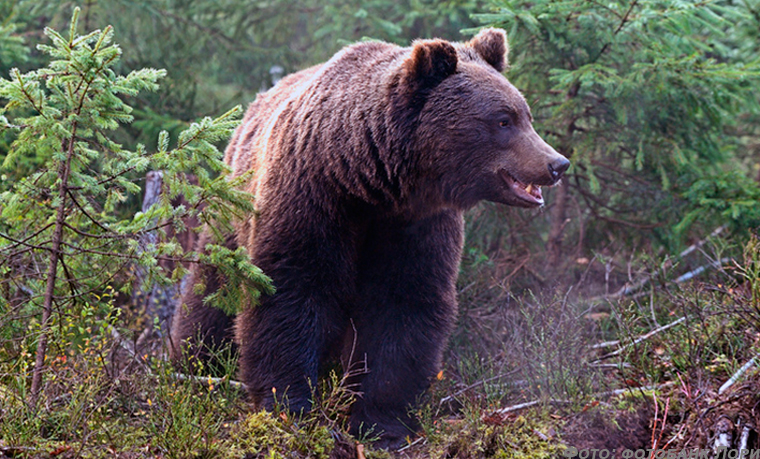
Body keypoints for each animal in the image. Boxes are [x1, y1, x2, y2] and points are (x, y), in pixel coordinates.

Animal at [170, 28, 570, 448]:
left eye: (526, 115)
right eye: (503, 120)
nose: (556, 163)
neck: (366, 179)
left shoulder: (415, 224)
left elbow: (403, 304)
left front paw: (382, 423)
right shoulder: (311, 197)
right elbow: (290, 289)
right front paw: (289, 404)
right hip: (233, 210)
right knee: (212, 290)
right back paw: (195, 361)